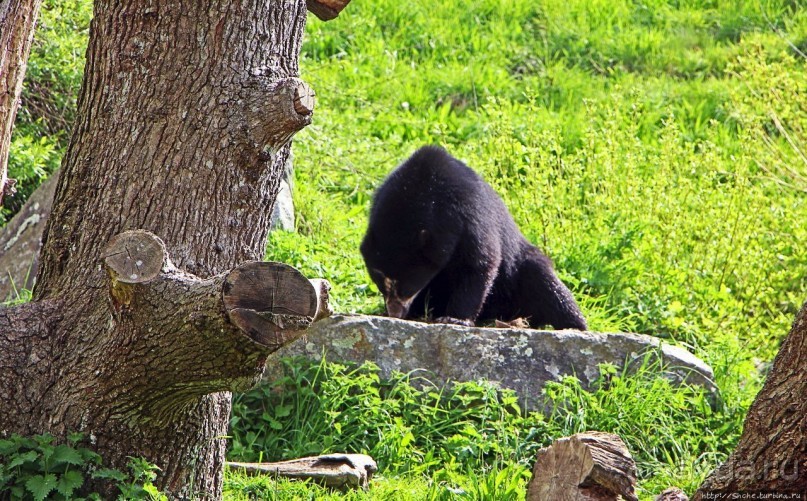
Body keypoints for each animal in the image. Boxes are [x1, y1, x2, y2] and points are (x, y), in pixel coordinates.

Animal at [360, 145, 588, 330]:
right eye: (380, 283)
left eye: (407, 286)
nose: (395, 313)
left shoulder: (469, 215)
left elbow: (479, 263)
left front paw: (454, 319)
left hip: (519, 272)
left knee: (547, 285)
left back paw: (574, 325)